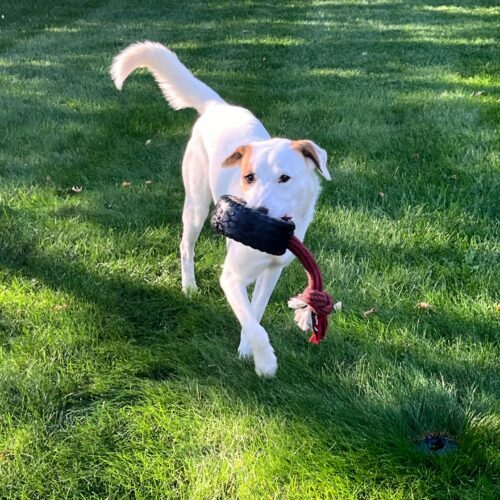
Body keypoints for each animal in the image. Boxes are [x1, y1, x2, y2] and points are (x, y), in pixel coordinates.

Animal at [111, 43, 330, 376]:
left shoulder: (272, 273)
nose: (257, 215)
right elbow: (254, 325)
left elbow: (255, 313)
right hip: (196, 205)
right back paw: (188, 286)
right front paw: (265, 362)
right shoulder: (231, 277)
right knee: (185, 246)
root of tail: (217, 106)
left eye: (285, 178)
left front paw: (246, 349)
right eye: (249, 177)